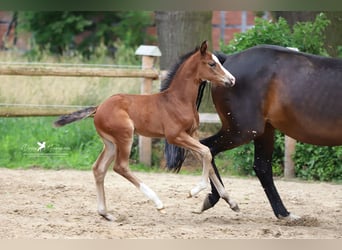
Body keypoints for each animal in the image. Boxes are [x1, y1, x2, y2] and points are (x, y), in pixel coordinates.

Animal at [54, 41, 239, 221]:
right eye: (212, 64)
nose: (232, 80)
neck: (178, 100)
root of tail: (98, 108)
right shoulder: (175, 136)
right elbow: (206, 152)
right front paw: (194, 191)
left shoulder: (191, 134)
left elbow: (206, 158)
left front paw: (232, 202)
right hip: (125, 136)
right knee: (120, 167)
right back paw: (158, 202)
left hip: (111, 143)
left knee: (99, 169)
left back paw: (105, 213)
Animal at [166, 44, 342, 219]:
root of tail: (228, 60)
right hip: (243, 131)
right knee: (209, 149)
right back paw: (222, 199)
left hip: (264, 130)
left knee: (261, 166)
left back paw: (283, 213)